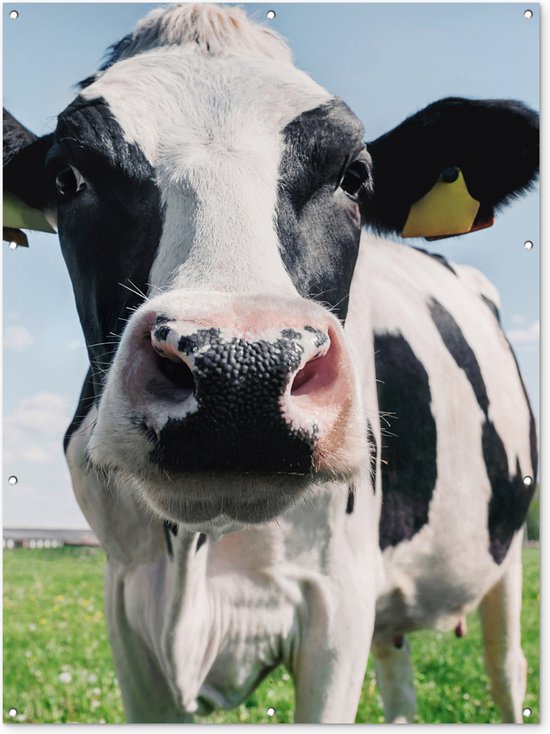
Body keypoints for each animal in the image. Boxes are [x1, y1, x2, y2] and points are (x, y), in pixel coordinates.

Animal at [3, 4, 538, 724]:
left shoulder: (337, 600)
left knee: (506, 669)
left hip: (506, 554)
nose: (241, 372)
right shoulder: (127, 606)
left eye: (353, 176)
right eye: (68, 177)